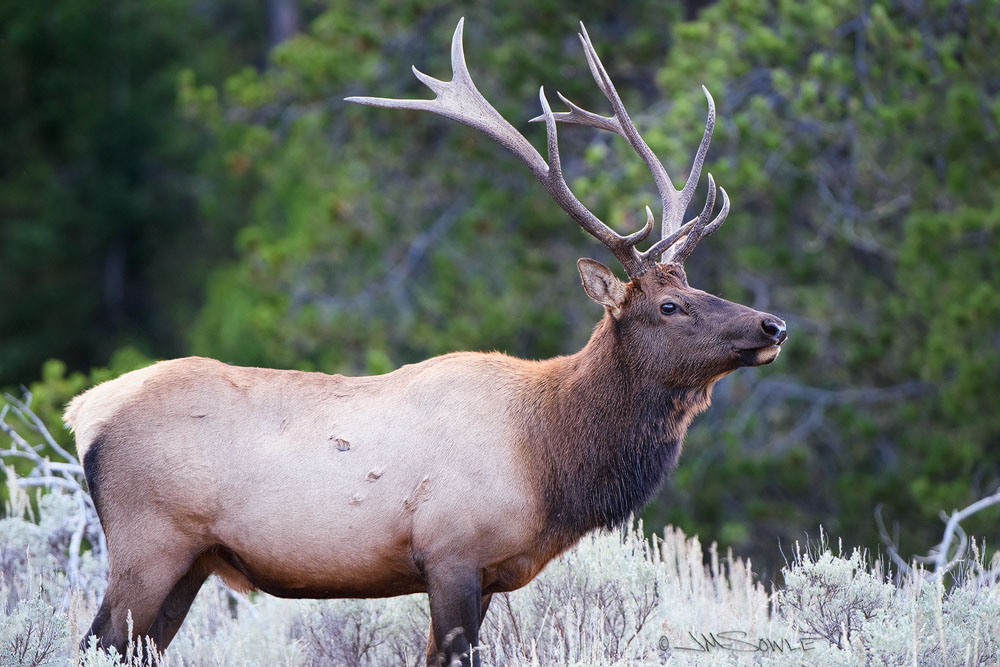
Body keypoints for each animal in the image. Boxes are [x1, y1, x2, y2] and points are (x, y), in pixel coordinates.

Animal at [65, 18, 786, 667]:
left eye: (696, 285)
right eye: (670, 305)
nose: (773, 325)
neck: (550, 458)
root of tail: (83, 412)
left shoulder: (486, 574)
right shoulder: (451, 552)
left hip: (191, 563)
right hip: (148, 544)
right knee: (93, 642)